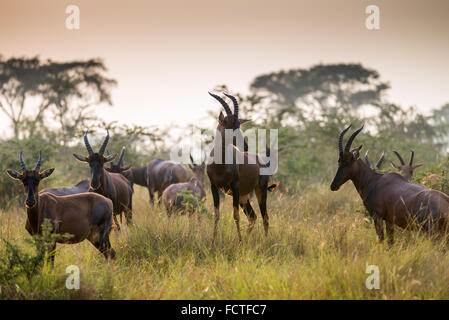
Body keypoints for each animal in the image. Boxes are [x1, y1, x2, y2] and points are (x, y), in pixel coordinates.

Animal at [207, 91, 278, 241]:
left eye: (239, 124)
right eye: (228, 124)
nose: (245, 146)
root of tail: (261, 161)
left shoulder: (235, 186)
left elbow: (236, 216)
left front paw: (239, 241)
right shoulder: (213, 187)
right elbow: (216, 215)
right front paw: (213, 240)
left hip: (259, 190)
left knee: (265, 217)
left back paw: (264, 240)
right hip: (243, 196)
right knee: (253, 217)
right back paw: (247, 238)